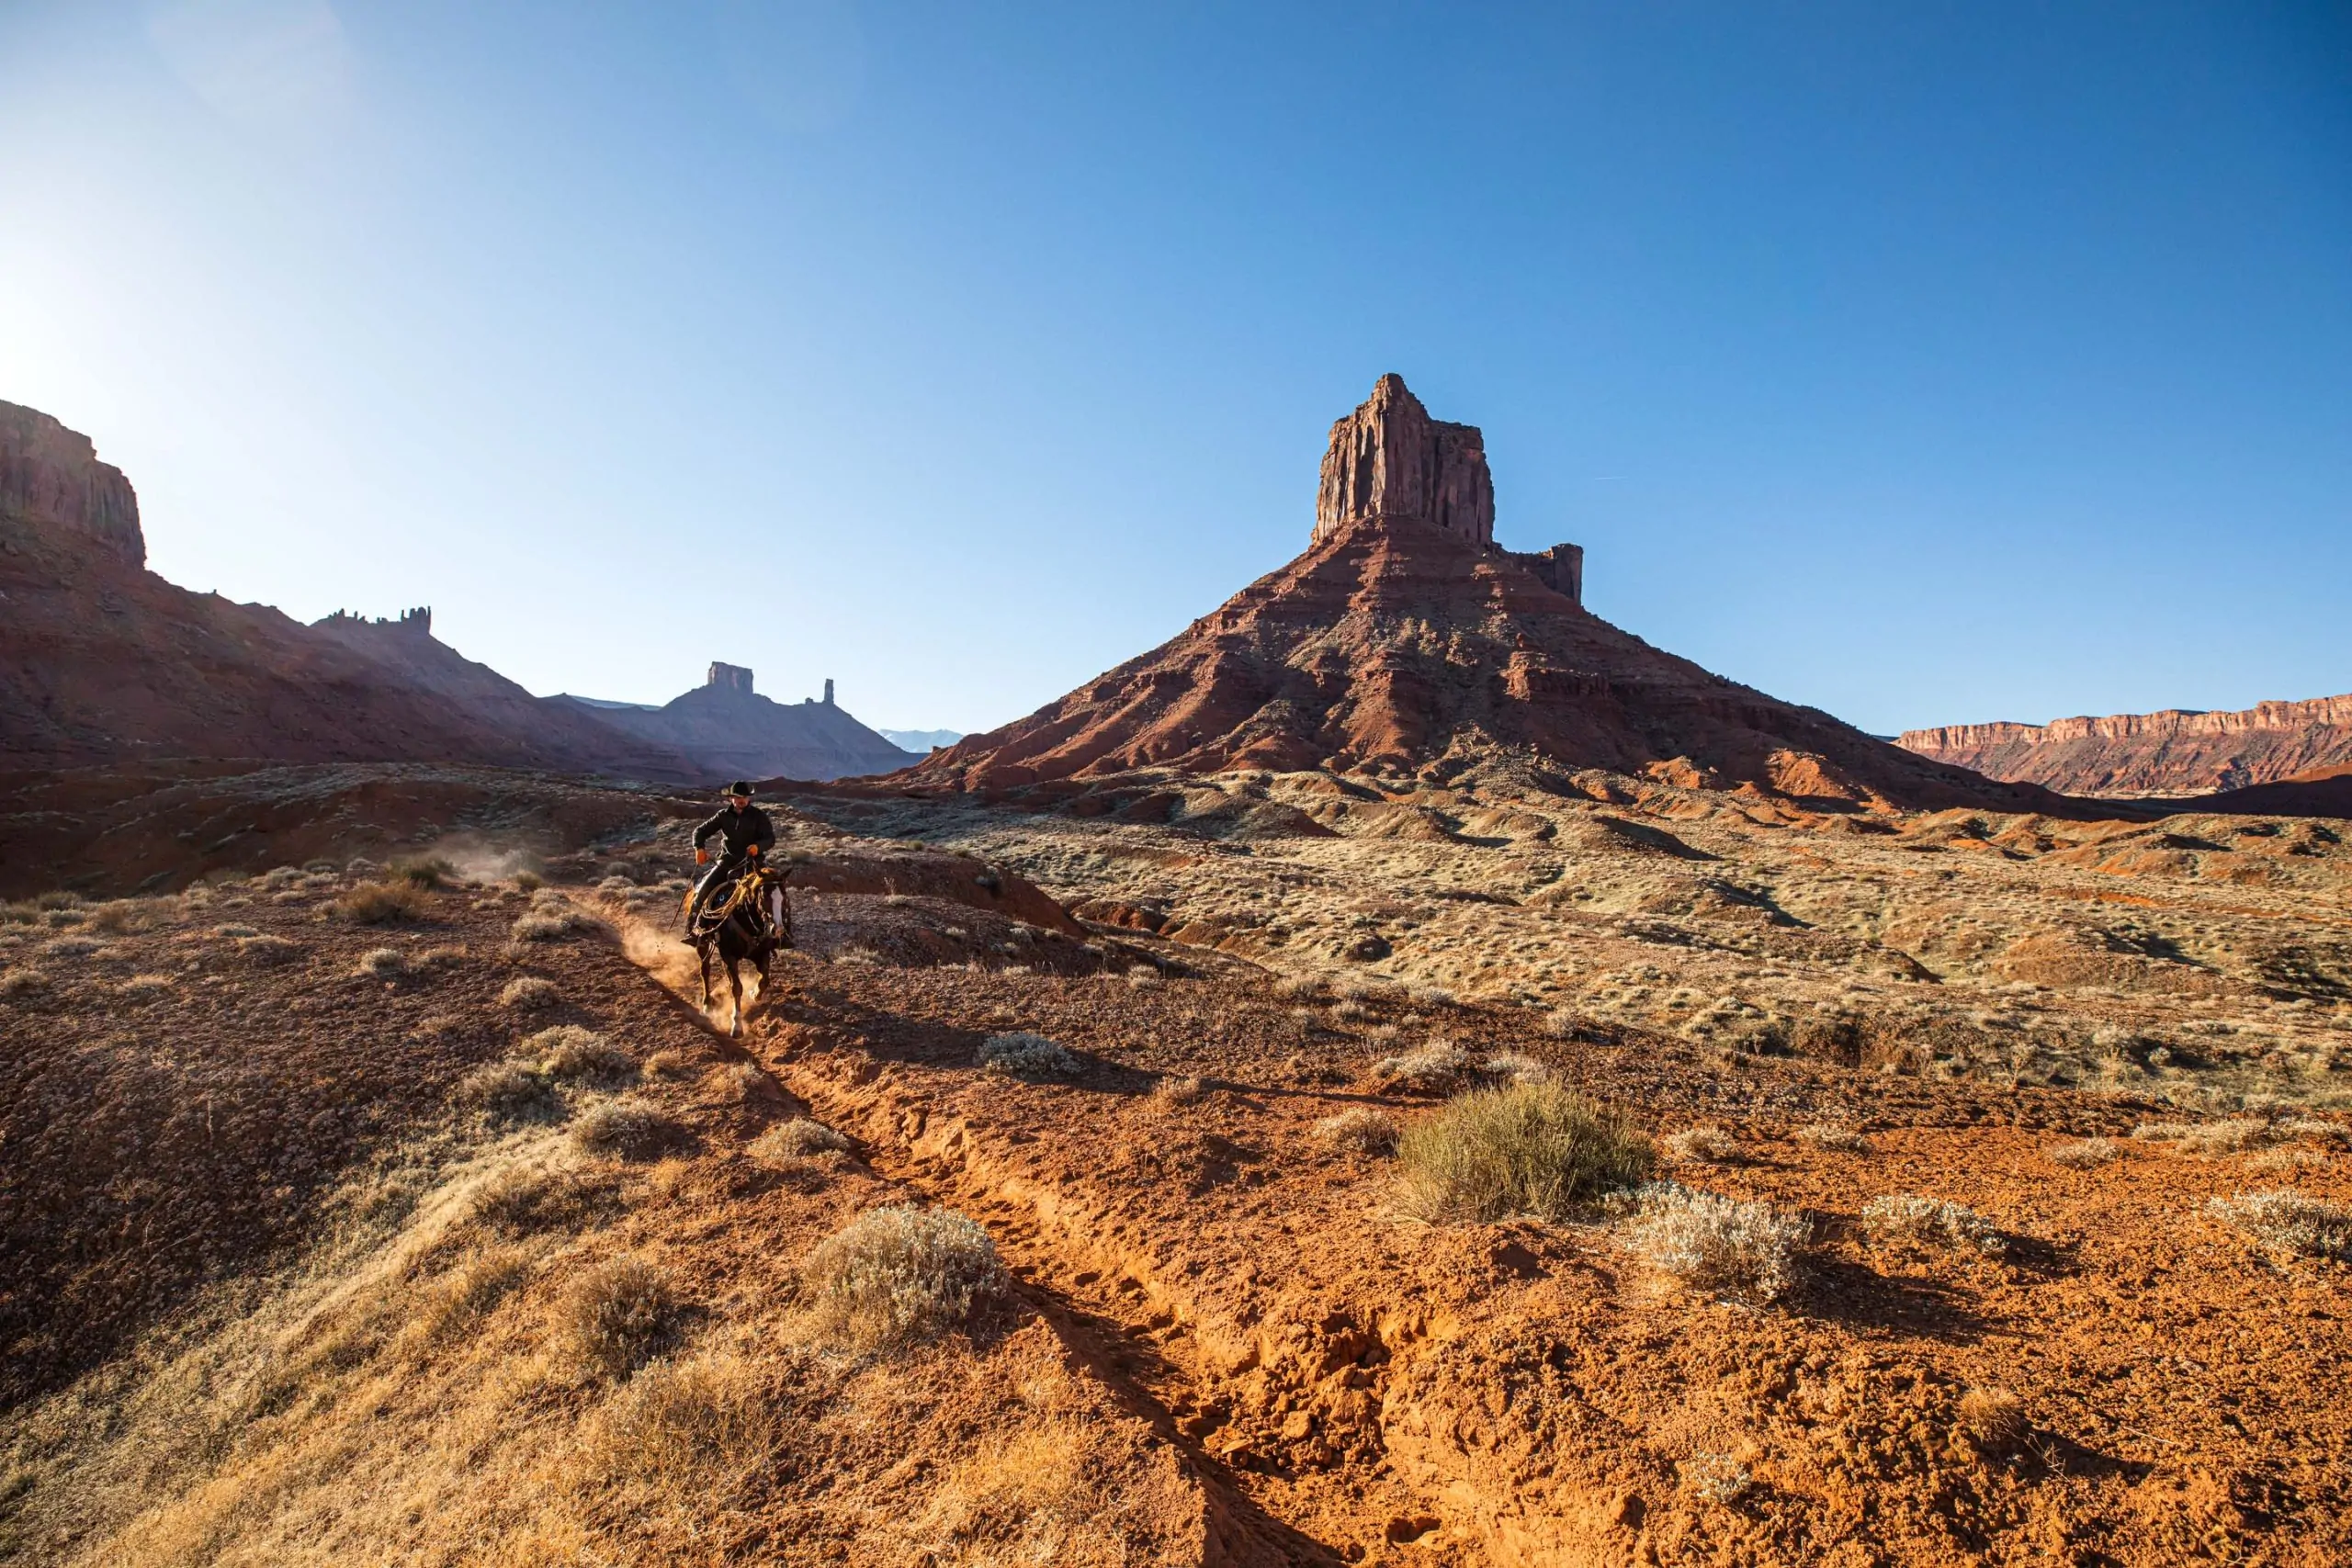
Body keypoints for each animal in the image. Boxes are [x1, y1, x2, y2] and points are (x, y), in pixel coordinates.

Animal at [686, 860, 795, 1029]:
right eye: (764, 897)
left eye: (784, 897)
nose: (777, 930)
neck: (747, 919)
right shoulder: (728, 955)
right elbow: (736, 987)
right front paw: (737, 1024)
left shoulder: (762, 953)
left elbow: (764, 980)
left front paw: (754, 994)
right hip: (702, 944)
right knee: (705, 970)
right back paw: (707, 1004)